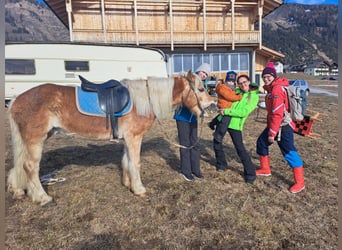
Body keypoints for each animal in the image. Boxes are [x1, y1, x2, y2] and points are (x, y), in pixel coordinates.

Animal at [7, 70, 214, 205]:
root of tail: (17, 100)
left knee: (19, 166)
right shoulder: (134, 137)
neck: (145, 99)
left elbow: (126, 161)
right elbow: (135, 163)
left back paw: (18, 191)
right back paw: (43, 198)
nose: (212, 106)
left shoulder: (128, 139)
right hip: (35, 140)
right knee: (30, 167)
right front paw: (139, 189)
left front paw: (128, 184)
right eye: (200, 89)